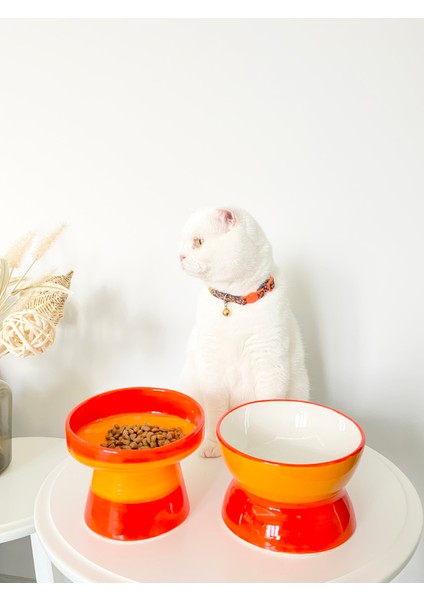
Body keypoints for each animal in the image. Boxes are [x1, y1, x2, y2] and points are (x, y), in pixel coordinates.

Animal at [178, 207, 310, 458]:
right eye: (182, 243)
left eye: (198, 242)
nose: (179, 256)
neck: (234, 301)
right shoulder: (212, 367)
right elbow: (215, 411)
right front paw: (213, 445)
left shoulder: (270, 364)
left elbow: (266, 409)